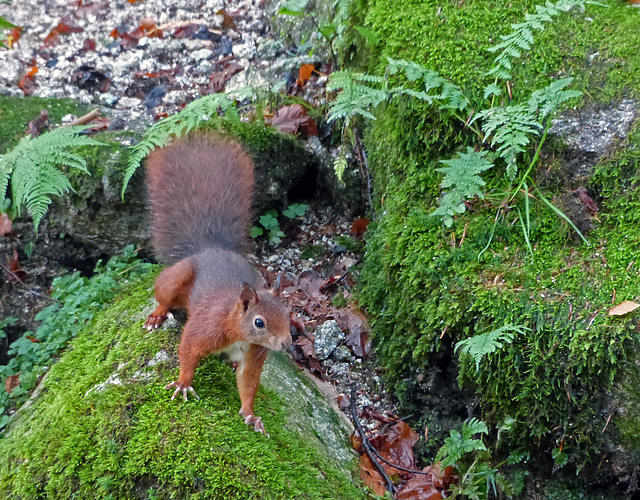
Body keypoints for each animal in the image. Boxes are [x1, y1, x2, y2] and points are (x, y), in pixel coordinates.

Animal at [143, 132, 292, 435]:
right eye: (259, 322)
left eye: (288, 314)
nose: (286, 343)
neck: (236, 330)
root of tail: (210, 248)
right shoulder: (206, 327)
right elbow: (188, 350)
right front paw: (184, 383)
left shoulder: (253, 354)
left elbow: (248, 382)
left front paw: (251, 415)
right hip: (176, 278)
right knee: (164, 294)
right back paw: (157, 314)